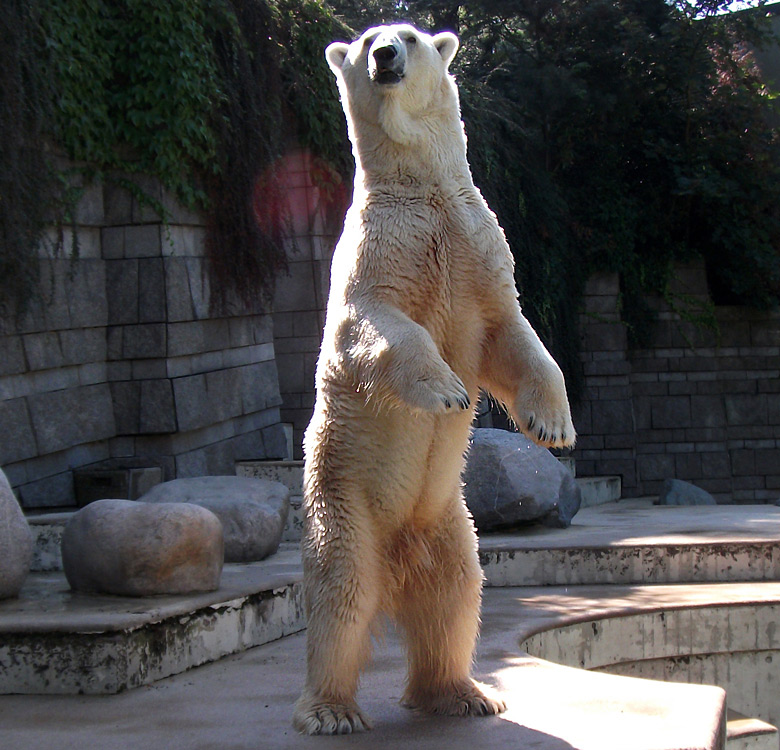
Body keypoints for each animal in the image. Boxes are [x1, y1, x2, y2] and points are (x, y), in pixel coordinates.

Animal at [292, 25, 572, 740]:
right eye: (367, 38)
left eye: (411, 37)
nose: (384, 55)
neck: (424, 188)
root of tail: (399, 556)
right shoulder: (377, 247)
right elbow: (375, 323)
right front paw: (445, 391)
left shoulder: (477, 244)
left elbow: (513, 333)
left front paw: (554, 425)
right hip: (342, 497)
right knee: (342, 590)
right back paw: (331, 710)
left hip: (449, 517)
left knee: (456, 593)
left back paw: (463, 693)